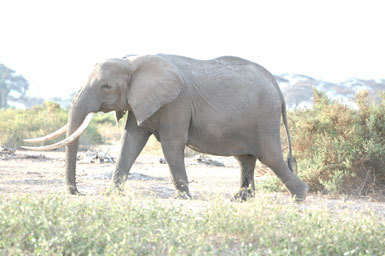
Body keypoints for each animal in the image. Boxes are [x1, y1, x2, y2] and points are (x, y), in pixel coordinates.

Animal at [23, 54, 306, 200]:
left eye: (106, 86)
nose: (77, 193)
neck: (132, 63)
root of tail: (278, 87)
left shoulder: (176, 103)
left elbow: (171, 145)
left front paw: (184, 198)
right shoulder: (142, 101)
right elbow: (130, 142)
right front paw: (112, 193)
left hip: (264, 117)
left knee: (271, 157)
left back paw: (300, 195)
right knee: (245, 158)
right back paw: (242, 199)